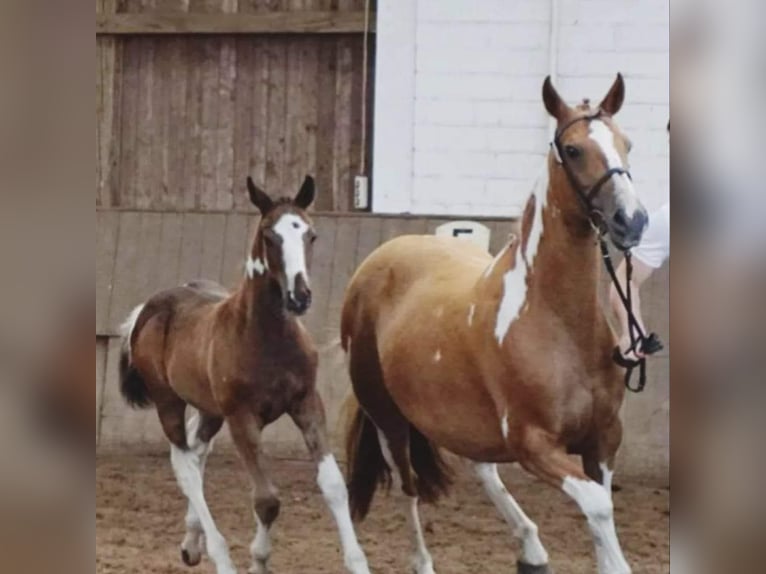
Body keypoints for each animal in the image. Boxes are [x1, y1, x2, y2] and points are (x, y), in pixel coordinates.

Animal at [118, 177, 370, 574]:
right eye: (269, 236)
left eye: (310, 234)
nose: (300, 297)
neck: (267, 337)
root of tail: (148, 308)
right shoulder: (242, 418)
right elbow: (267, 499)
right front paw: (258, 559)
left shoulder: (306, 403)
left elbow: (333, 485)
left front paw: (359, 563)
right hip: (168, 400)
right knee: (185, 465)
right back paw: (218, 556)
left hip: (209, 409)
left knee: (197, 450)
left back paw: (191, 544)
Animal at [344, 75, 652, 574]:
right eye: (572, 150)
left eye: (626, 143)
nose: (632, 220)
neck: (559, 326)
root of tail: (381, 257)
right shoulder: (534, 445)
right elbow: (598, 507)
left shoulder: (603, 439)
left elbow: (599, 511)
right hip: (388, 416)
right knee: (409, 491)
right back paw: (423, 561)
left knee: (481, 466)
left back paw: (531, 547)